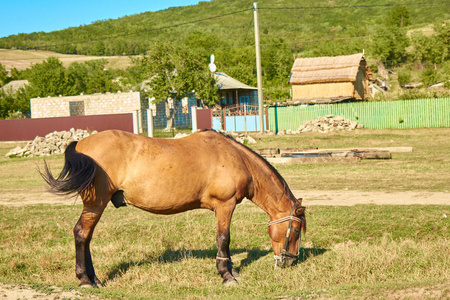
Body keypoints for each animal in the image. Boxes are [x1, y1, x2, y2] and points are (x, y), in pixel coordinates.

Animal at [40, 129, 306, 286]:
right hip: (95, 204)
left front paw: (231, 270)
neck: (236, 158)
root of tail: (80, 144)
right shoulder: (225, 206)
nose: (289, 262)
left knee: (87, 238)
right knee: (81, 234)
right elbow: (224, 239)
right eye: (294, 231)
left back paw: (94, 278)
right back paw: (85, 280)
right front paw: (226, 275)